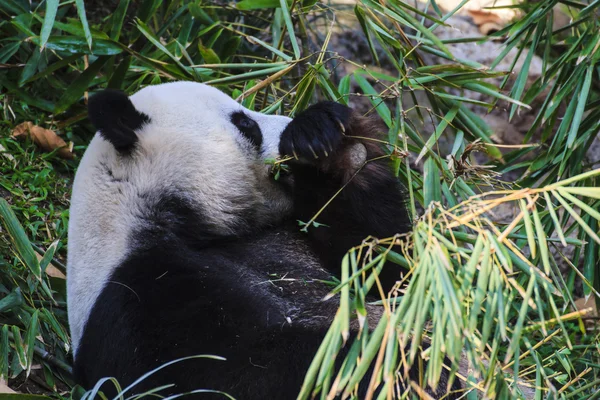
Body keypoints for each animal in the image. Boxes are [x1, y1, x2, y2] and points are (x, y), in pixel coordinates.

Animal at [67, 80, 460, 396]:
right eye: (246, 124)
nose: (286, 128)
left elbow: (391, 271)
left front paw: (328, 137)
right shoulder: (142, 299)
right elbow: (247, 371)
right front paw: (395, 362)